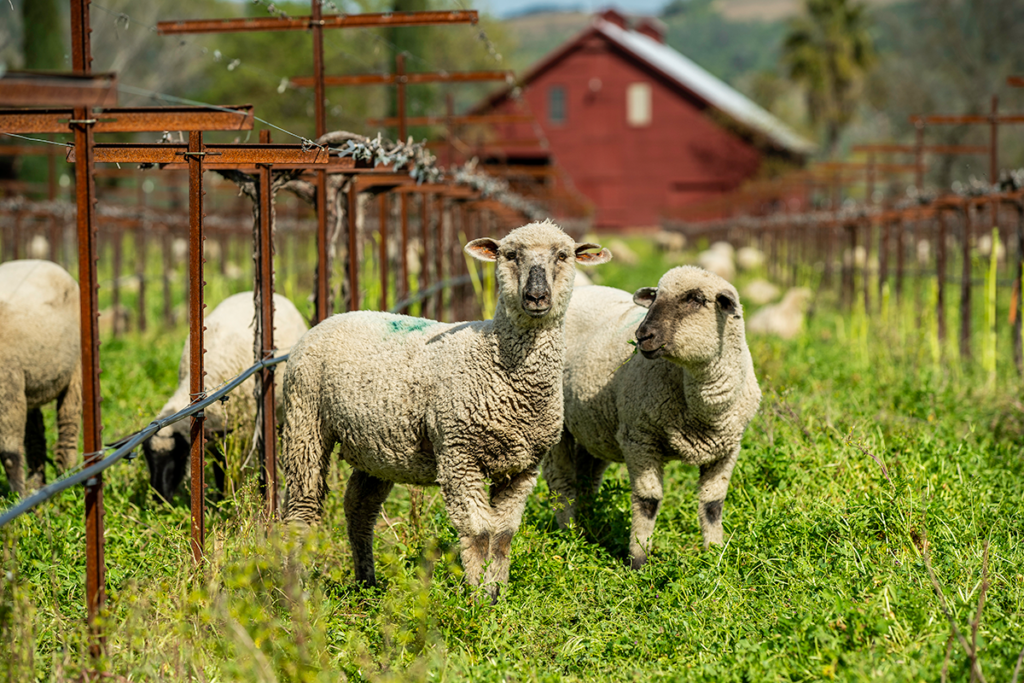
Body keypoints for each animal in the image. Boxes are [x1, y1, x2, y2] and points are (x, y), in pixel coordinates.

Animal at [0, 259, 80, 493]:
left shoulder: (7, 387)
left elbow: (9, 456)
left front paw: (20, 500)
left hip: (76, 366)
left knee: (68, 422)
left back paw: (67, 479)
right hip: (28, 387)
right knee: (35, 435)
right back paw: (38, 483)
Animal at [143, 292, 307, 501]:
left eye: (180, 456)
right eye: (148, 457)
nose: (159, 497)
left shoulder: (242, 431)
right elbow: (219, 468)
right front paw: (222, 498)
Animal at [280, 222, 606, 602]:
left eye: (563, 255)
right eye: (510, 255)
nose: (537, 296)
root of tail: (333, 318)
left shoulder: (524, 467)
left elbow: (503, 535)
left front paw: (497, 593)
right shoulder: (458, 454)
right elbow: (479, 533)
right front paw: (479, 598)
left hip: (377, 448)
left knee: (359, 507)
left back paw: (366, 581)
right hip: (304, 419)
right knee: (302, 510)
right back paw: (296, 590)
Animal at [544, 264, 761, 569]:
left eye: (696, 299)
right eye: (655, 296)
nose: (642, 335)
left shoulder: (727, 448)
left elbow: (712, 505)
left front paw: (715, 555)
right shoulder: (639, 438)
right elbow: (648, 502)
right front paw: (638, 561)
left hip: (595, 425)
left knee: (586, 476)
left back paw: (587, 526)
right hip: (557, 421)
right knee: (561, 482)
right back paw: (569, 533)